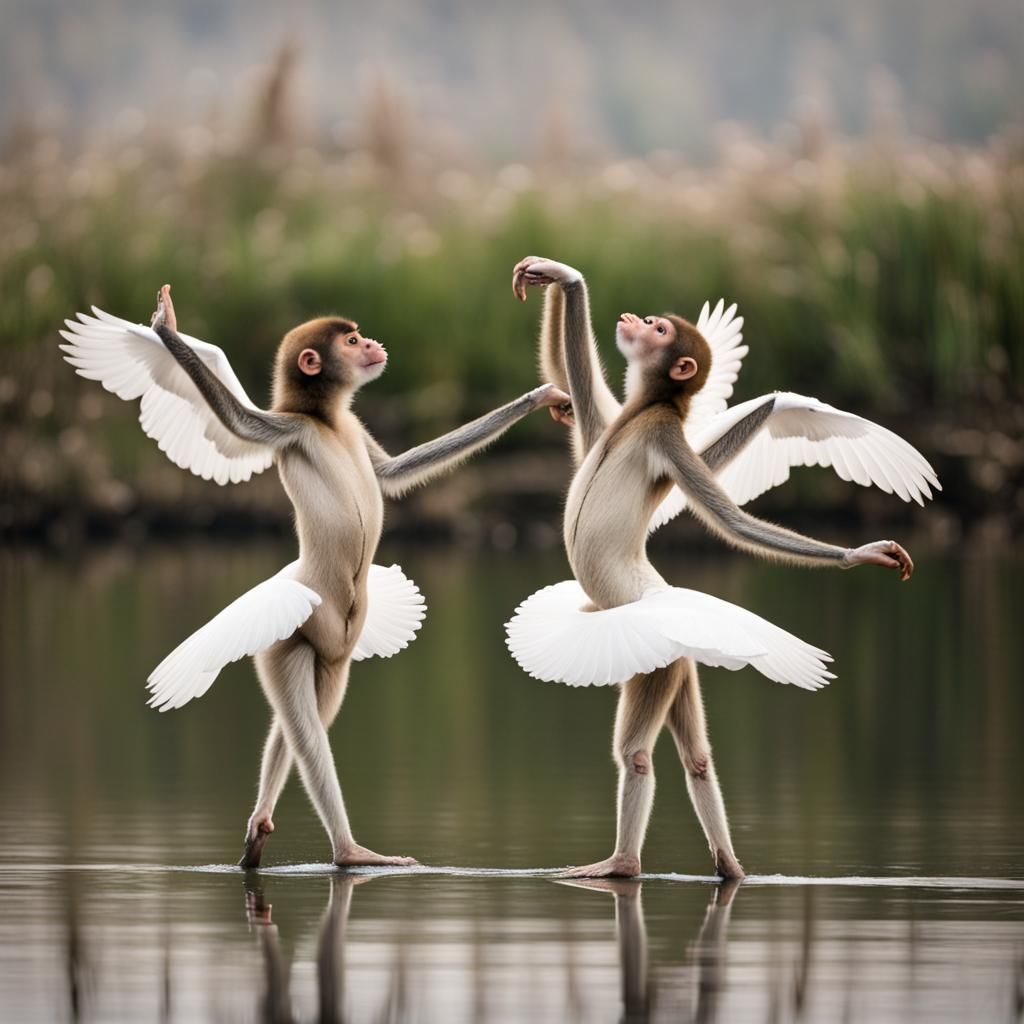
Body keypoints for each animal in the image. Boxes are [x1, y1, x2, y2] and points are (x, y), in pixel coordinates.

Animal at [61, 284, 569, 869]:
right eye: (349, 340)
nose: (371, 343)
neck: (327, 422)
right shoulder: (289, 429)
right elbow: (240, 422)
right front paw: (165, 328)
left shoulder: (352, 431)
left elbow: (392, 473)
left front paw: (539, 397)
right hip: (290, 636)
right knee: (306, 732)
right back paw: (347, 852)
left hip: (334, 658)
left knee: (305, 722)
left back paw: (261, 828)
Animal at [506, 256, 916, 879]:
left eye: (658, 329)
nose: (634, 320)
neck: (640, 415)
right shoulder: (603, 421)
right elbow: (572, 370)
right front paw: (560, 276)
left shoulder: (665, 441)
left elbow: (729, 519)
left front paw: (859, 553)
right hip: (678, 660)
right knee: (698, 758)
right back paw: (729, 865)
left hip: (659, 660)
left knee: (637, 756)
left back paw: (623, 863)